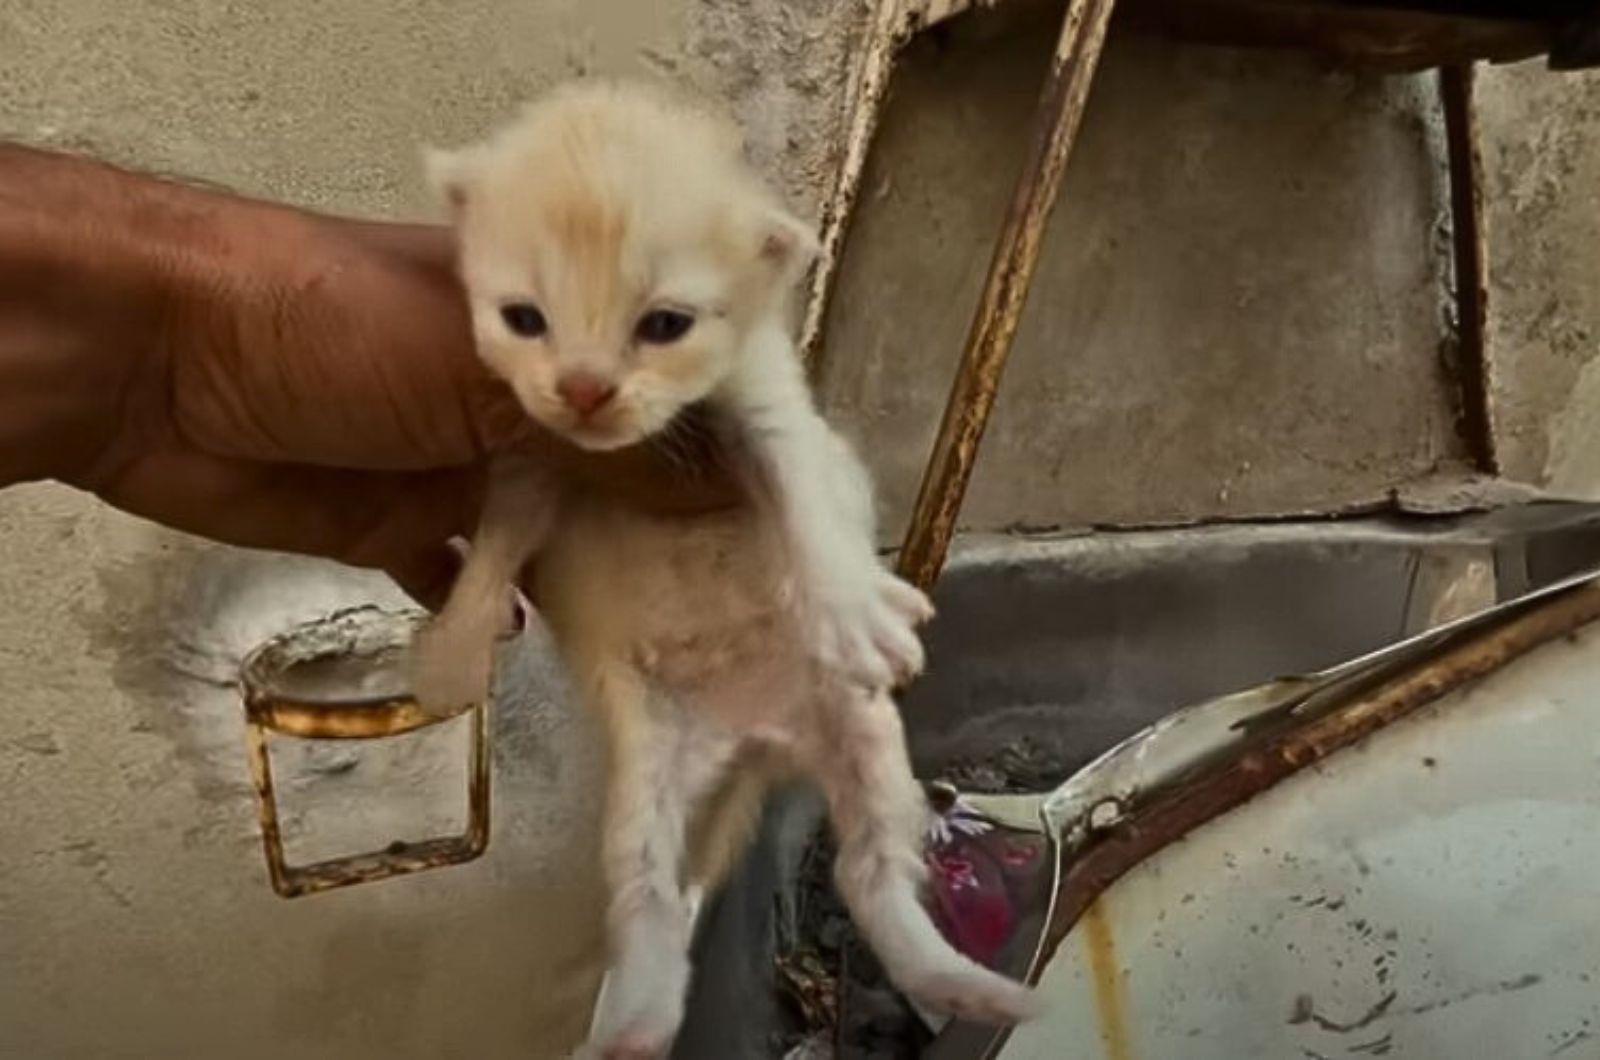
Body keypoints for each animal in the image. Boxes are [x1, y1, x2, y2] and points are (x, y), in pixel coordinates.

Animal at [412, 80, 1036, 1060]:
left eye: (665, 325)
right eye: (524, 318)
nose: (584, 389)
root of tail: (759, 740)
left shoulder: (772, 403)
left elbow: (808, 496)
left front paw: (853, 607)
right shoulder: (530, 457)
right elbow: (502, 539)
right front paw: (454, 648)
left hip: (862, 733)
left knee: (870, 872)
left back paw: (968, 985)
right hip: (648, 777)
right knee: (654, 899)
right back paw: (635, 1015)